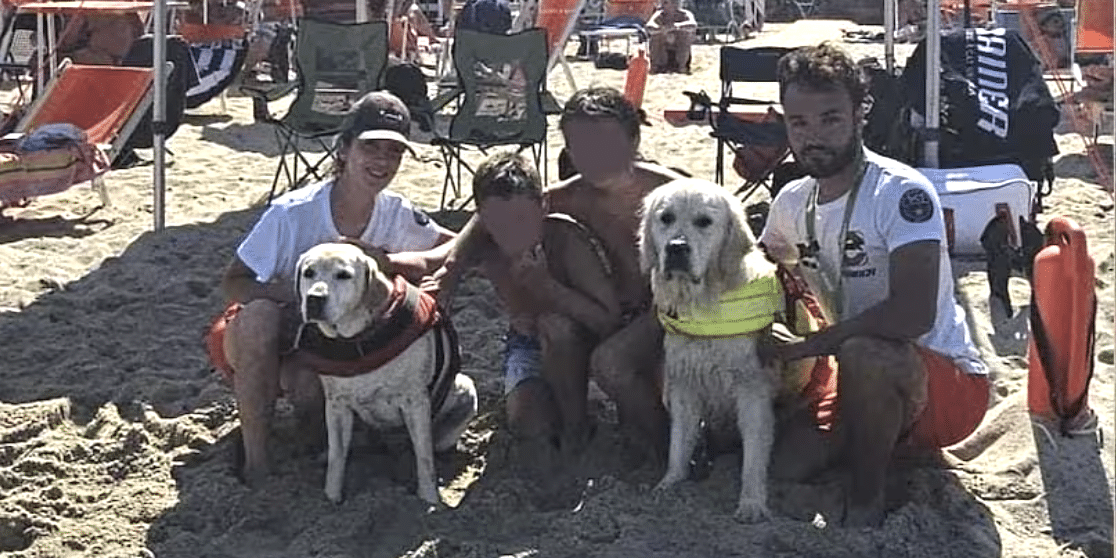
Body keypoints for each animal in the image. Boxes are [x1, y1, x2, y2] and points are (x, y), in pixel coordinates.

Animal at [294, 244, 477, 506]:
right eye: (308, 273)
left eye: (344, 275)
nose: (314, 299)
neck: (358, 339)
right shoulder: (336, 405)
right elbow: (337, 456)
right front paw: (332, 497)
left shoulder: (415, 403)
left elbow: (424, 457)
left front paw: (429, 499)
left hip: (465, 388)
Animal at [638, 178, 785, 522]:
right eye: (665, 218)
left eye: (704, 221)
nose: (676, 248)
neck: (704, 304)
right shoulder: (684, 384)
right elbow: (679, 442)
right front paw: (669, 485)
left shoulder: (752, 389)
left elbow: (754, 455)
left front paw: (752, 503)